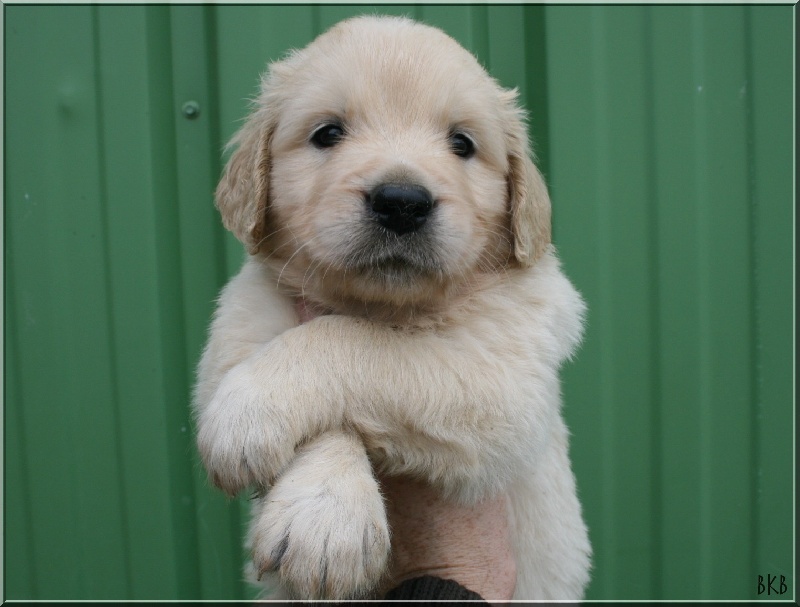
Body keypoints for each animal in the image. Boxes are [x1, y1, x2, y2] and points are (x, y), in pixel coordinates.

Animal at [193, 15, 591, 600]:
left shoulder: (505, 378)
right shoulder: (240, 328)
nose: (402, 202)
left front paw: (253, 416)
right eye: (328, 133)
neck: (384, 304)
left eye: (462, 143)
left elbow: (352, 340)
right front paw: (328, 515)